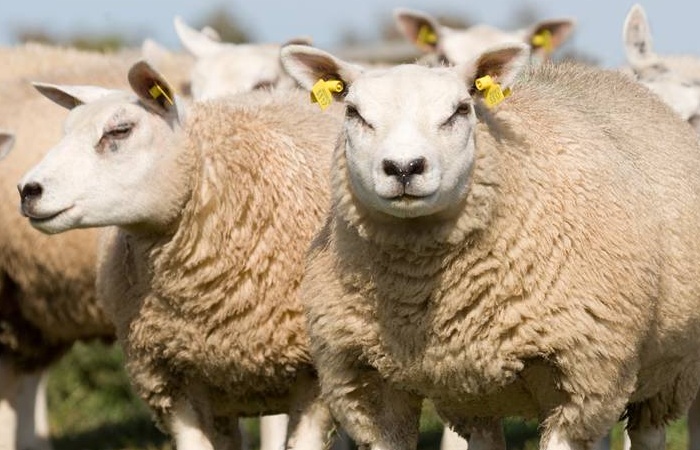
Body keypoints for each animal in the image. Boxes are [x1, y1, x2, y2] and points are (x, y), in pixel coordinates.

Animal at [278, 42, 700, 450]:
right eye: (354, 112)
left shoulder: (578, 376)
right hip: (473, 395)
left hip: (666, 371)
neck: (417, 295)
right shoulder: (369, 382)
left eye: (460, 110)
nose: (403, 168)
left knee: (649, 432)